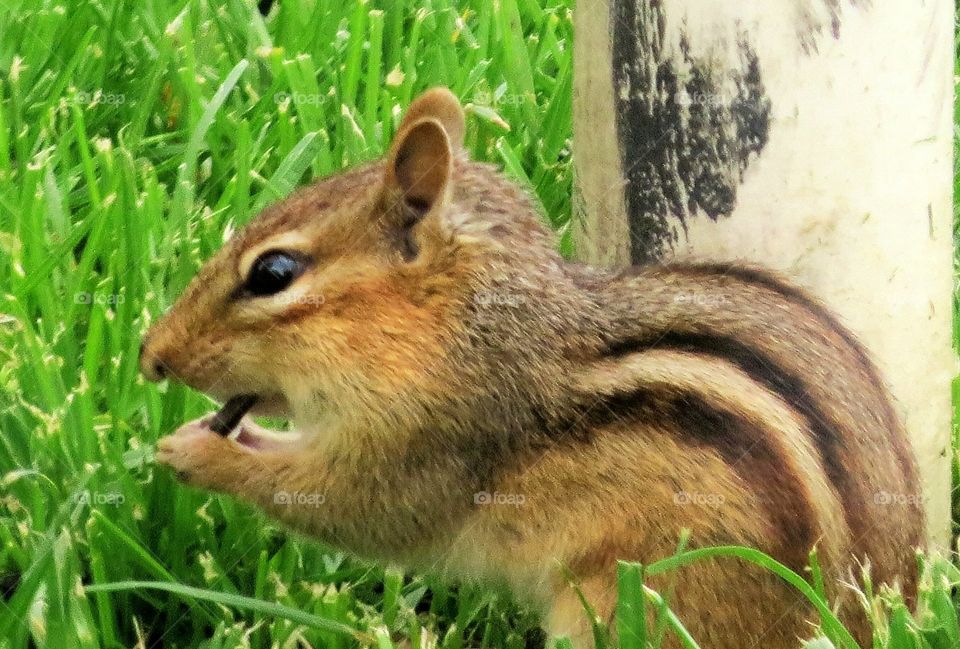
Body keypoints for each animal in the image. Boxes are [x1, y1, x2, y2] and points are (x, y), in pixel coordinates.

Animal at [141, 87, 925, 648]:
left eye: (273, 272)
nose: (152, 357)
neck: (461, 328)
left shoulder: (431, 444)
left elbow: (357, 511)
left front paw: (198, 454)